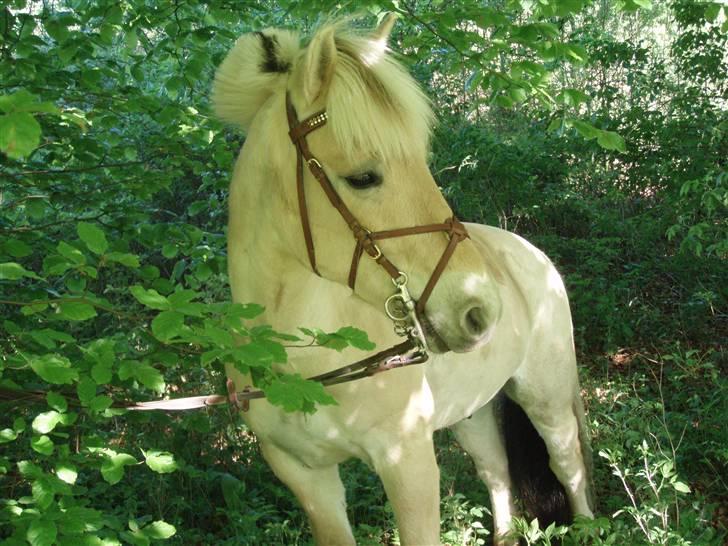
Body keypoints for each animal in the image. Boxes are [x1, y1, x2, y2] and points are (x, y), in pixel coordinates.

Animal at [212, 14, 596, 540]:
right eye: (363, 178)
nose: (481, 309)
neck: (305, 362)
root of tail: (535, 256)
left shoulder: (407, 463)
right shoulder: (308, 479)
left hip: (548, 399)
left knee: (568, 466)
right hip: (472, 411)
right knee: (495, 470)